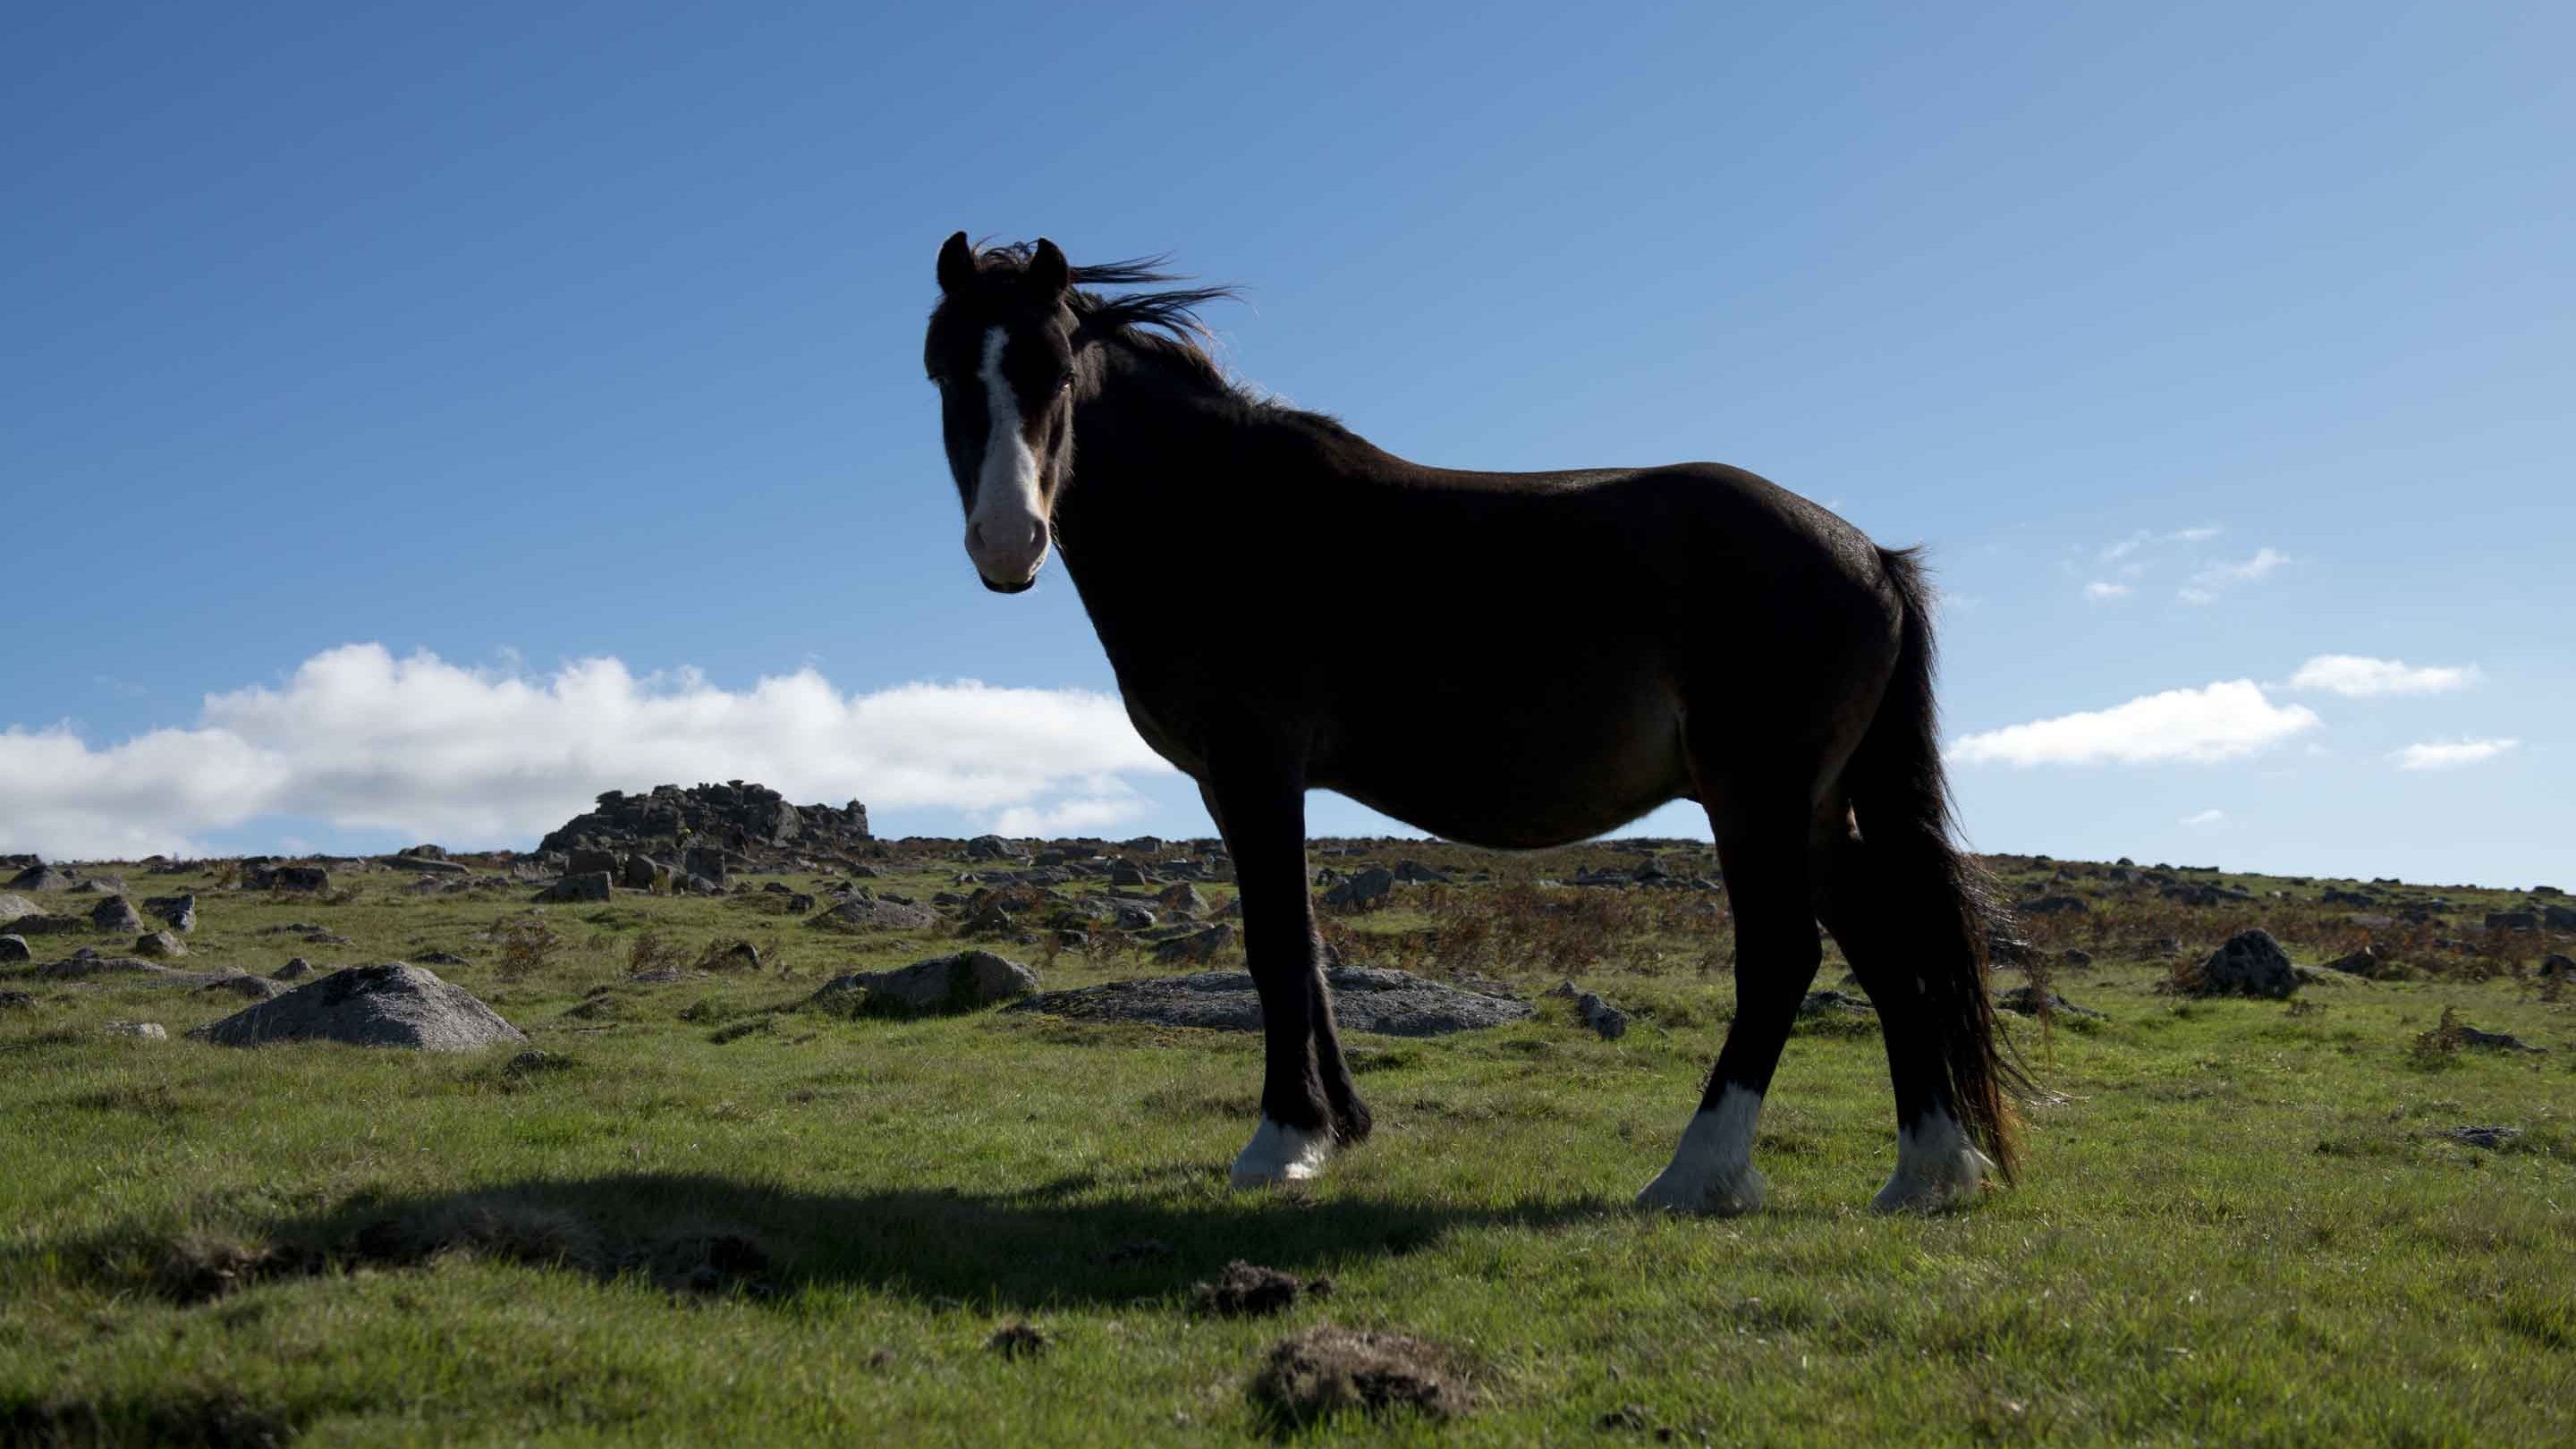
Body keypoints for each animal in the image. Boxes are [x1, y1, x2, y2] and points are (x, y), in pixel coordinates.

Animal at [919, 232, 2021, 1214]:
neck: (1222, 514)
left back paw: (1697, 1174)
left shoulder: (1254, 770)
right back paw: (1929, 1174)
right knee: (1887, 956)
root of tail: (1871, 554)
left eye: (1059, 370)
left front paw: (1281, 1142)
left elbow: (1274, 948)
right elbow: (1307, 948)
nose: (1009, 541)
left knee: (1784, 957)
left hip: (1756, 796)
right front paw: (1340, 1127)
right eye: (942, 371)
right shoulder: (1238, 787)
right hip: (1814, 810)